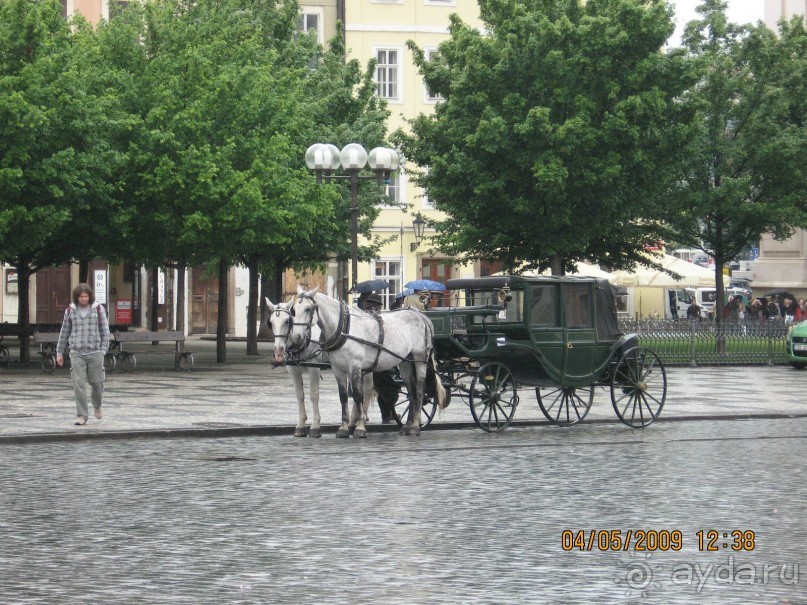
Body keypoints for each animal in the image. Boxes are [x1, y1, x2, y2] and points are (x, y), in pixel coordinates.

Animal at [268, 296, 326, 434]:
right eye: (271, 323)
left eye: (287, 321)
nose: (278, 349)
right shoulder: (293, 369)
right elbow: (299, 394)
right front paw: (301, 425)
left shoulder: (314, 368)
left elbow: (314, 394)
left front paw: (315, 425)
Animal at [288, 286, 448, 436]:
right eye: (294, 310)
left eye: (308, 308)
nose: (296, 337)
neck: (344, 327)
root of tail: (420, 316)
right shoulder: (338, 369)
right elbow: (343, 397)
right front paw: (344, 428)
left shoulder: (355, 366)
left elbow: (358, 396)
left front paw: (359, 427)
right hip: (405, 362)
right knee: (411, 390)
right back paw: (407, 426)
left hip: (420, 358)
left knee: (420, 389)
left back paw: (415, 426)